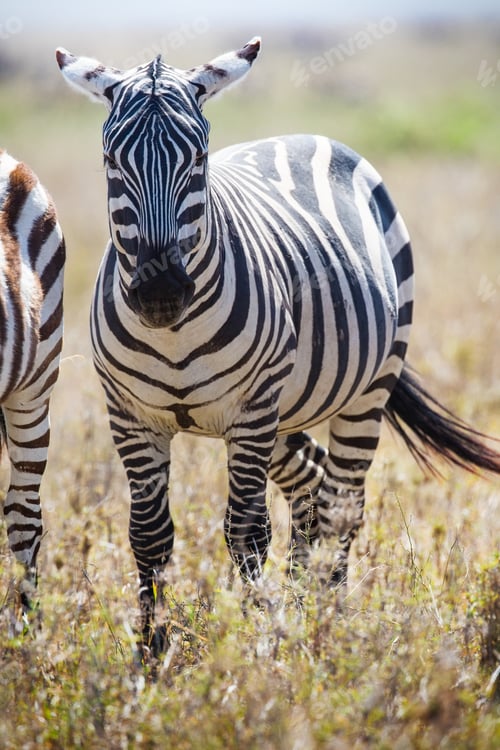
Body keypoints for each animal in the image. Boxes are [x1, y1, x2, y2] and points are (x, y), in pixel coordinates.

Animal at [56, 39, 500, 649]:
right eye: (111, 163)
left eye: (198, 160)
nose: (161, 293)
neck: (174, 335)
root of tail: (303, 135)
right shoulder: (130, 415)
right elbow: (148, 534)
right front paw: (152, 652)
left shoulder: (250, 411)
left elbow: (246, 531)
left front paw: (252, 645)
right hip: (286, 410)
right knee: (311, 487)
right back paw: (301, 606)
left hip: (364, 386)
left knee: (341, 502)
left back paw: (327, 620)